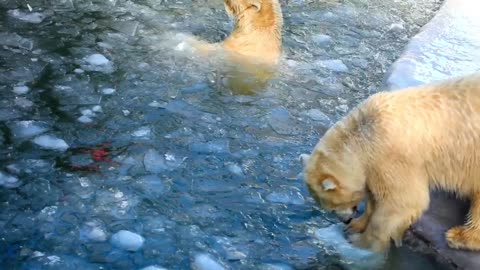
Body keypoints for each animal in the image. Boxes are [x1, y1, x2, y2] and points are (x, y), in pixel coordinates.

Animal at [302, 73, 480, 252]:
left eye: (333, 207)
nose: (346, 220)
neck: (366, 136)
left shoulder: (392, 157)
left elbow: (402, 201)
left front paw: (360, 242)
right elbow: (375, 196)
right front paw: (355, 225)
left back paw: (460, 236)